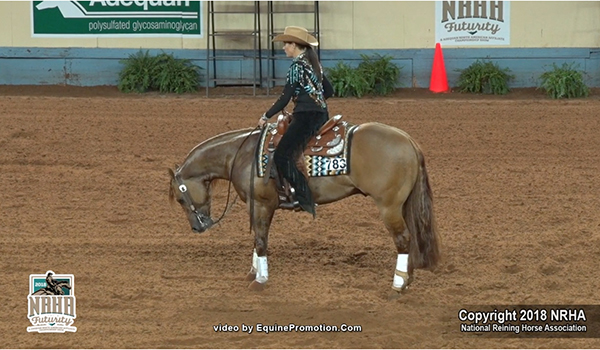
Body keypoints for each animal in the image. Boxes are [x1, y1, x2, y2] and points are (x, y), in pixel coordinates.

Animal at [169, 115, 440, 292]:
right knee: (410, 237)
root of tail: (409, 141)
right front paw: (253, 272)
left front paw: (260, 280)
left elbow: (261, 240)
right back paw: (407, 278)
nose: (198, 227)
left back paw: (398, 284)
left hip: (389, 207)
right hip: (402, 205)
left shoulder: (262, 204)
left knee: (403, 239)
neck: (242, 154)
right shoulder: (255, 206)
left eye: (181, 198)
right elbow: (257, 238)